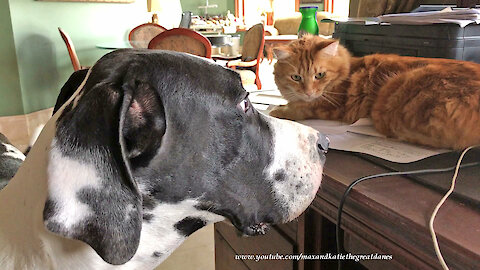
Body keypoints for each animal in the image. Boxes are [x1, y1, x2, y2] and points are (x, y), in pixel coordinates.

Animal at [270, 34, 480, 149]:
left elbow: (299, 109)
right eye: (296, 77)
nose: (308, 92)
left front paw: (278, 110)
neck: (346, 72)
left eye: (319, 75)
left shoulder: (330, 107)